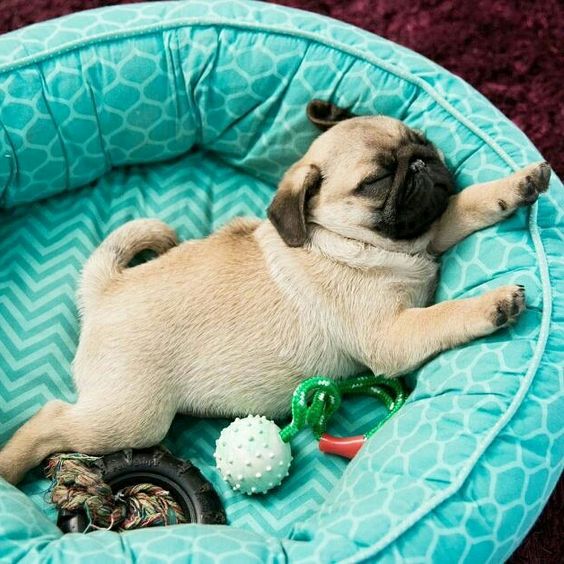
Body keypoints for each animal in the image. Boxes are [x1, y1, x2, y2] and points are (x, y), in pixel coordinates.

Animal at [0, 99, 552, 482]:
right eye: (375, 180)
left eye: (422, 139)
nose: (420, 162)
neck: (347, 242)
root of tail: (105, 290)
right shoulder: (392, 336)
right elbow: (445, 314)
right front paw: (493, 303)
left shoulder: (429, 230)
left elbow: (465, 203)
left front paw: (518, 184)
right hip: (132, 416)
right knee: (51, 420)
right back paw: (9, 469)